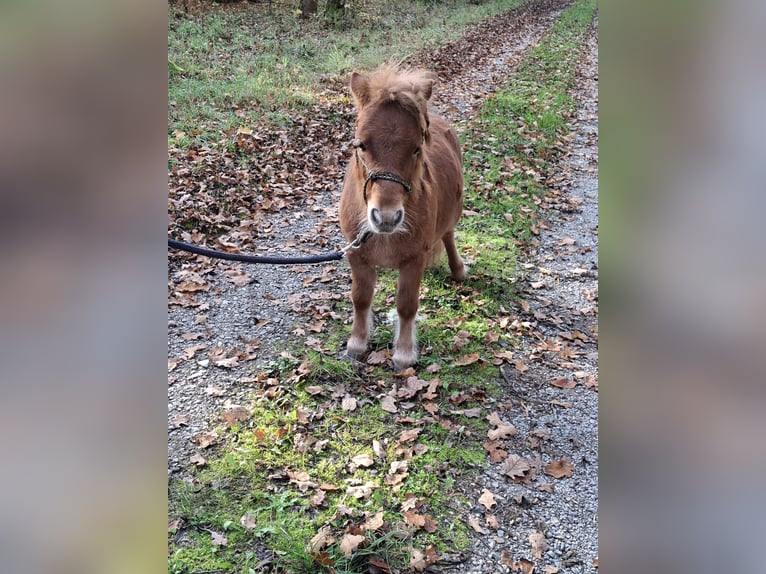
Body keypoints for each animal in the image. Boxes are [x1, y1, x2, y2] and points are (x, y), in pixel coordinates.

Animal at [342, 65, 468, 372]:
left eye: (416, 147)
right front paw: (357, 344)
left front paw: (404, 354)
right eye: (360, 145)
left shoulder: (413, 260)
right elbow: (360, 298)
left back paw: (458, 270)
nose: (386, 217)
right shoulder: (357, 255)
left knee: (448, 235)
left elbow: (407, 305)